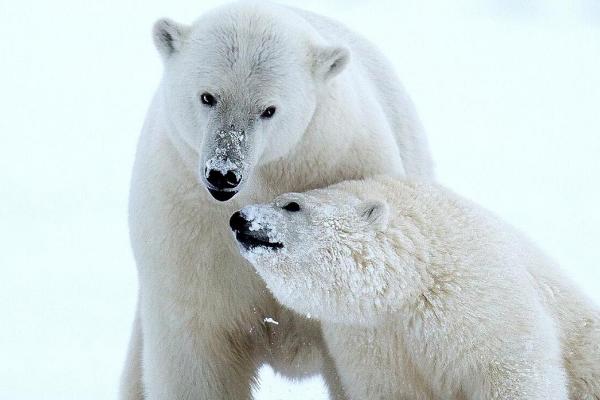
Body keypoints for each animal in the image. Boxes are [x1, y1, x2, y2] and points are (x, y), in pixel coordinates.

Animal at [122, 1, 434, 398]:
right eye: (208, 96)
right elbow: (196, 350)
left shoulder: (344, 164)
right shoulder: (184, 223)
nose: (223, 173)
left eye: (268, 109)